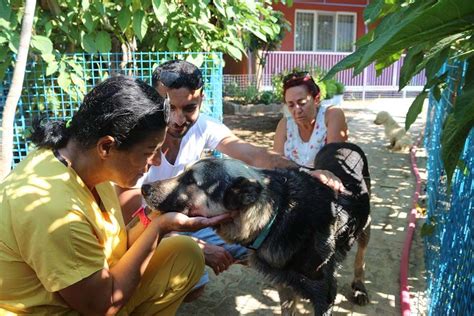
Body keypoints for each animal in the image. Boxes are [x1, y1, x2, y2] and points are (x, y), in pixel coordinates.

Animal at [141, 143, 370, 316]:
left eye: (190, 180)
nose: (144, 188)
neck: (277, 215)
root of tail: (342, 143)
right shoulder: (286, 287)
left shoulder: (325, 295)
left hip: (365, 227)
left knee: (361, 257)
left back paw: (359, 286)